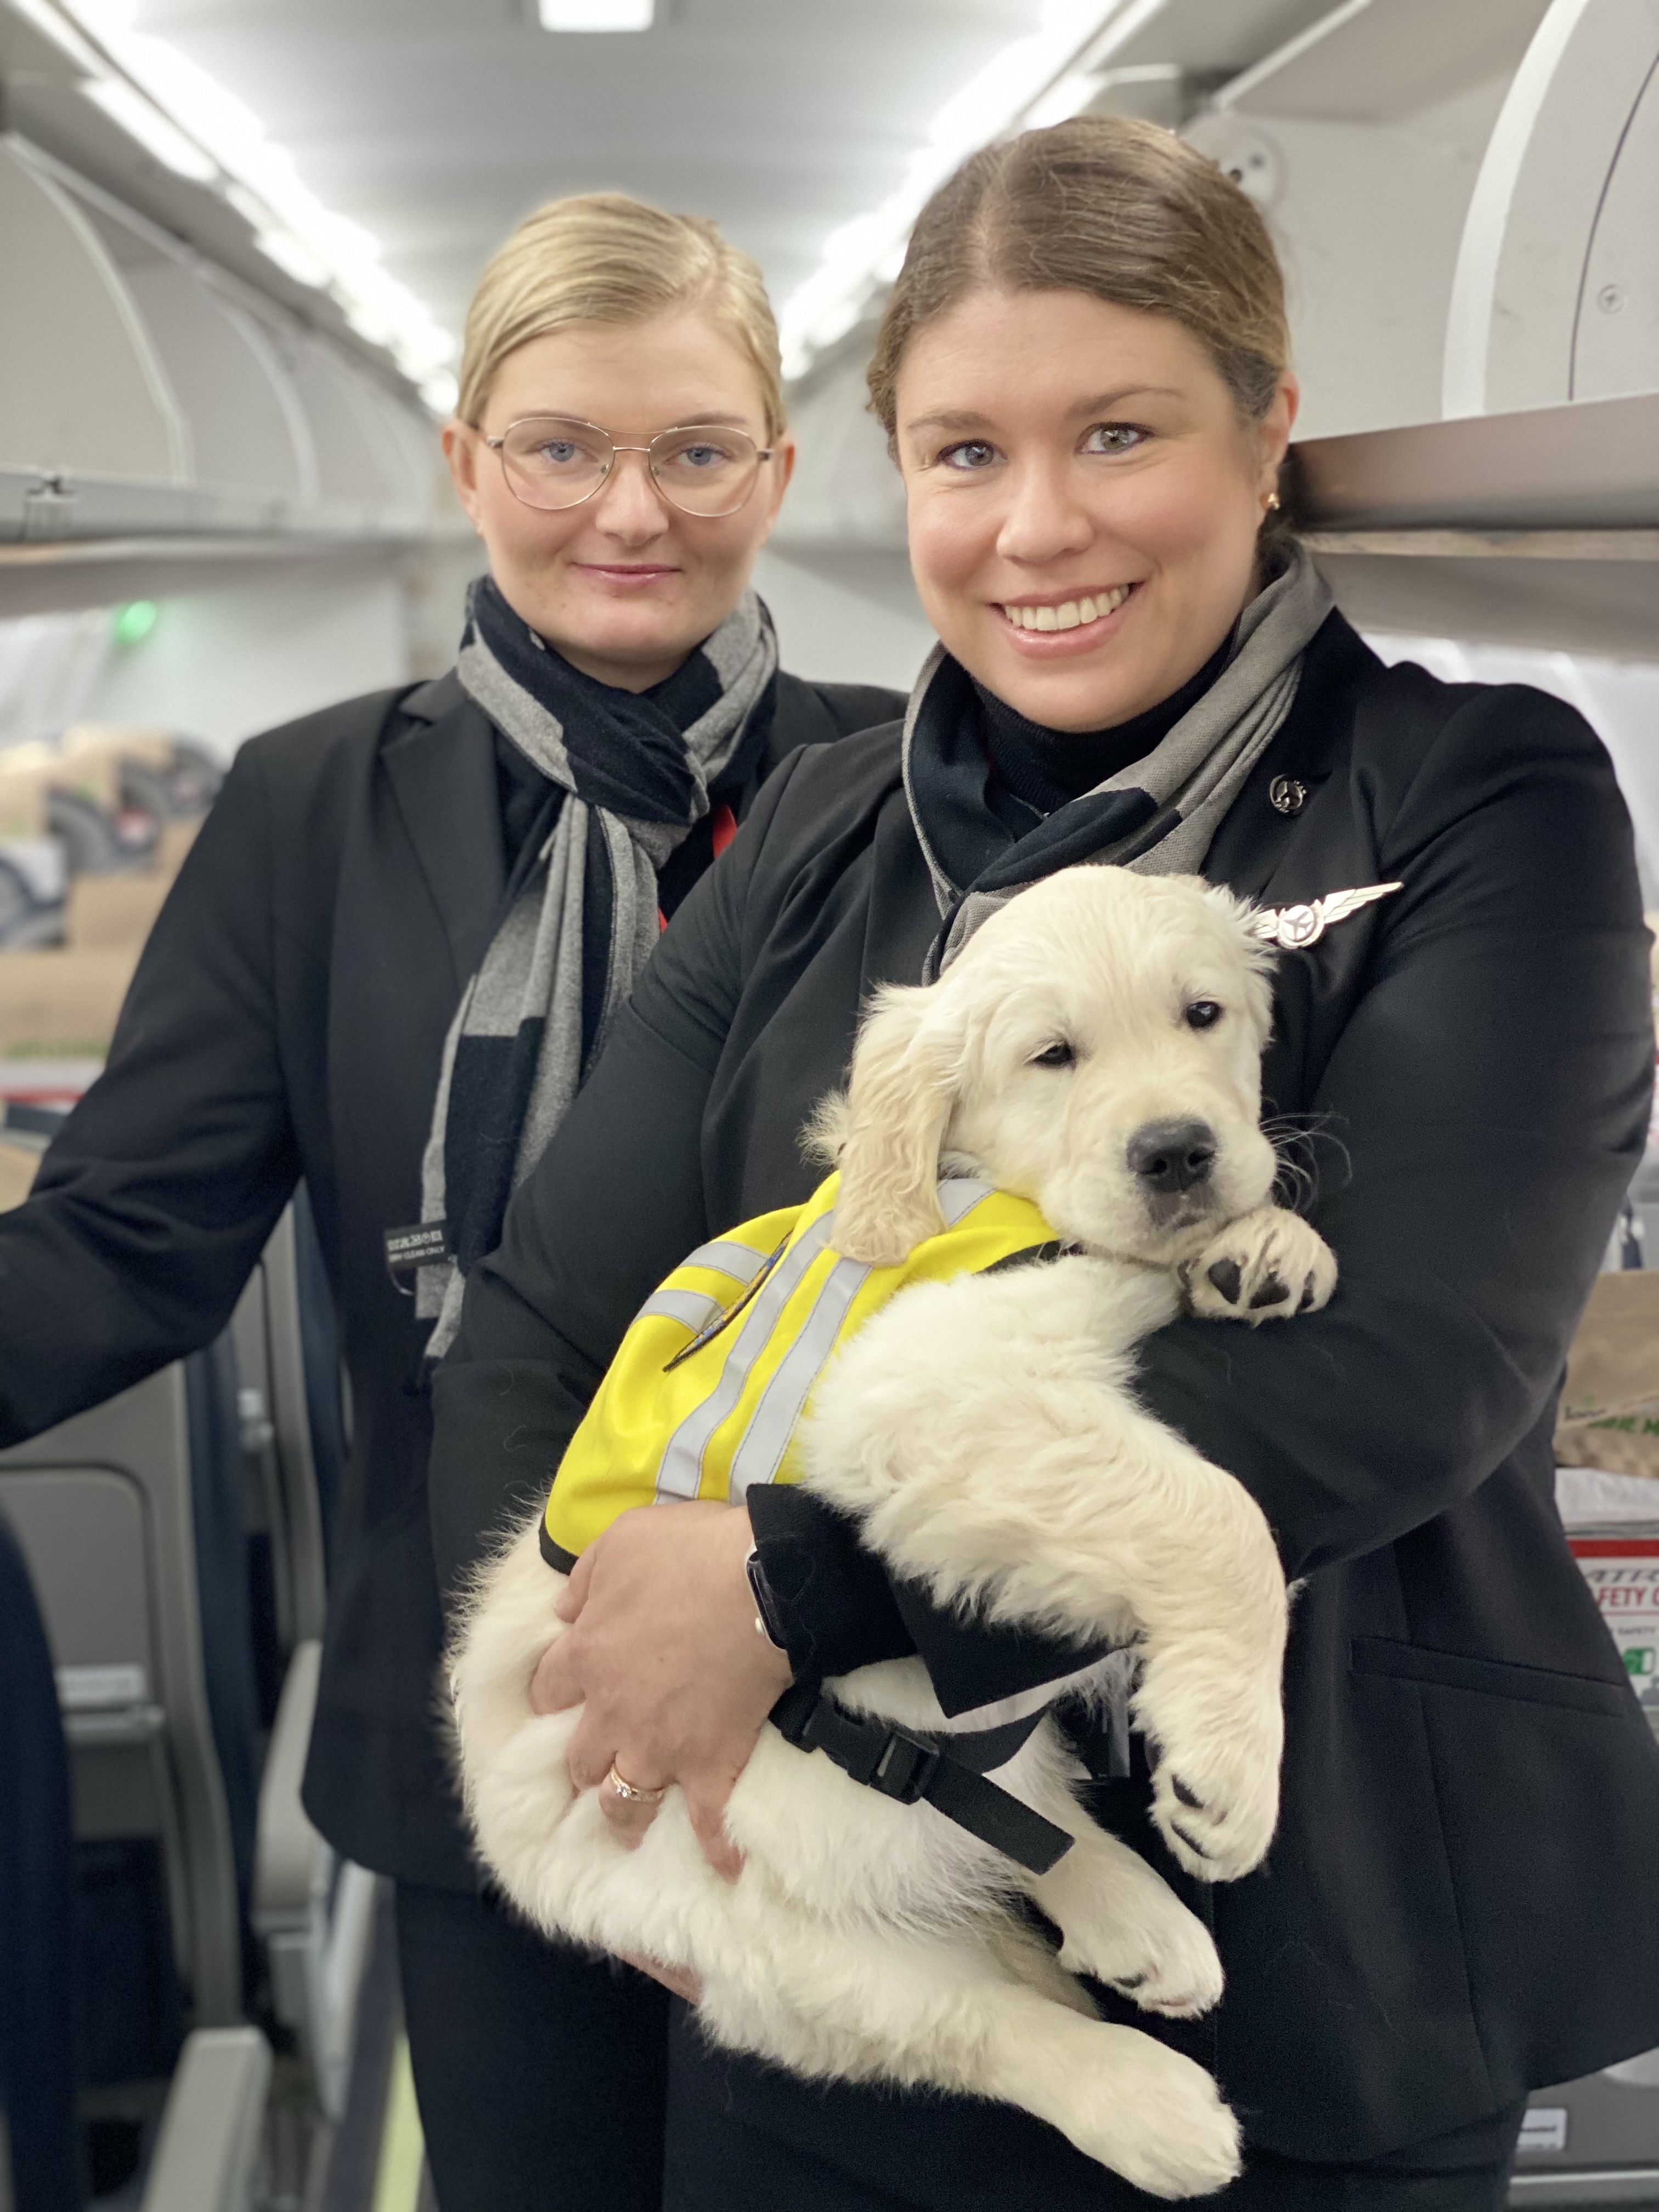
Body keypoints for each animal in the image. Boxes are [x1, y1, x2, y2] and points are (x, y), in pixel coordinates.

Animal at [450, 865, 1336, 2200]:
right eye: (1051, 1056)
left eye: (1204, 1015)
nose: (1178, 1152)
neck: (981, 1183)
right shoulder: (922, 1385)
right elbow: (1217, 1513)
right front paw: (1229, 1770)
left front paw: (1265, 1243)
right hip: (754, 1937)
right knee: (966, 2015)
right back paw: (1151, 2104)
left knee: (1013, 1811)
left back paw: (1138, 1921)